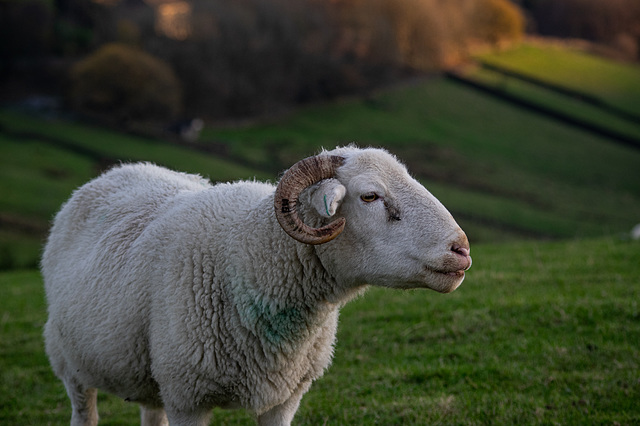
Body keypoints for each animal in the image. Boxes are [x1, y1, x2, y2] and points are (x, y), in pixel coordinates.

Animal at [40, 146, 470, 426]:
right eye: (370, 195)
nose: (461, 250)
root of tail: (122, 168)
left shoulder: (285, 398)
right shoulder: (187, 399)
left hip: (154, 377)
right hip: (69, 362)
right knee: (84, 411)